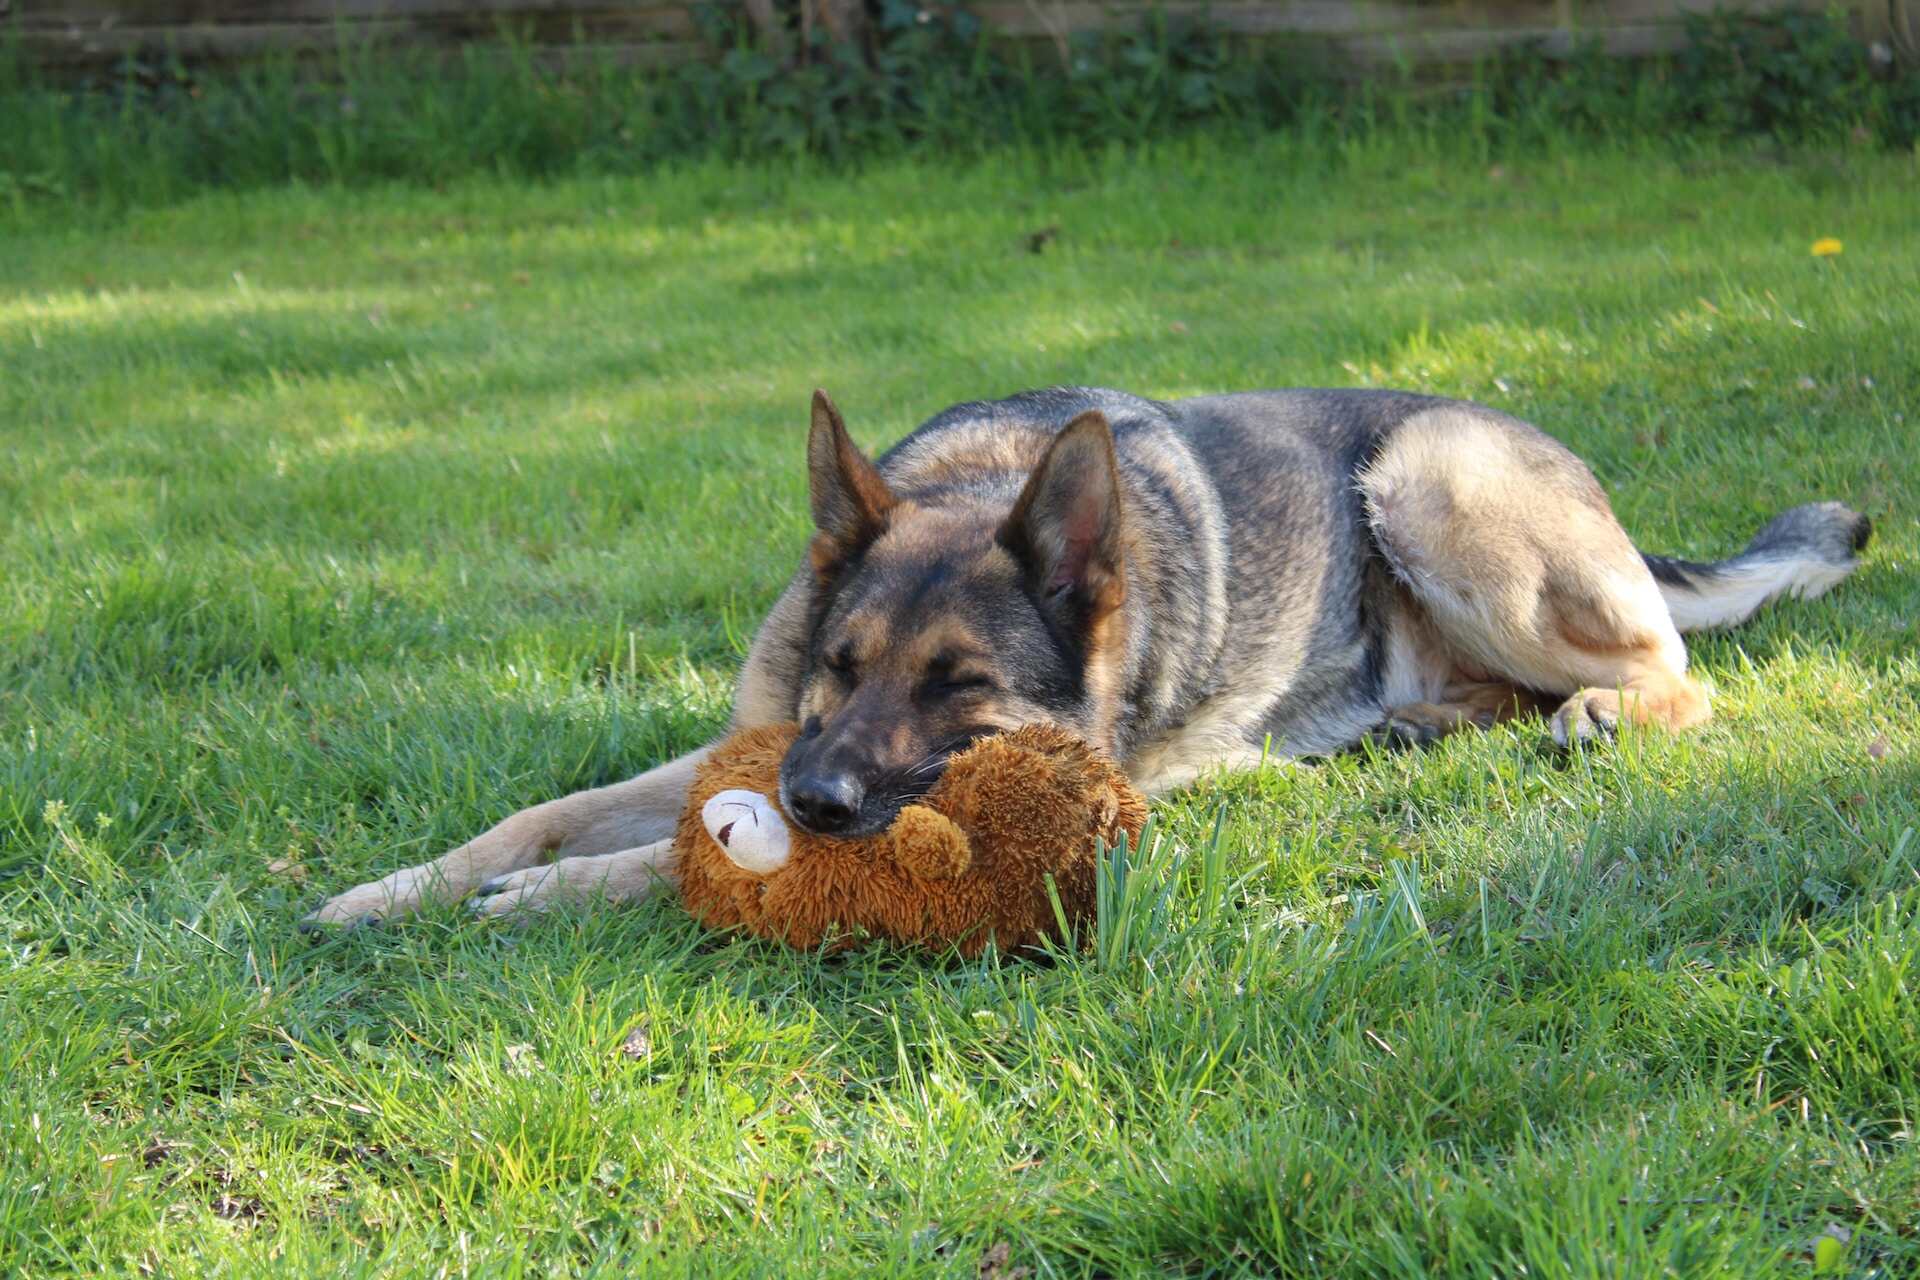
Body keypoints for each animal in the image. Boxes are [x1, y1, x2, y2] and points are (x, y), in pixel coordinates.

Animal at [307, 385, 1866, 924]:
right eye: (839, 663)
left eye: (962, 689)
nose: (813, 799)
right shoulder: (744, 740)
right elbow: (541, 811)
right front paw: (391, 890)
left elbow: (668, 855)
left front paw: (538, 898)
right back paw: (1415, 726)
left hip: (1431, 481)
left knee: (1680, 676)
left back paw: (1599, 710)